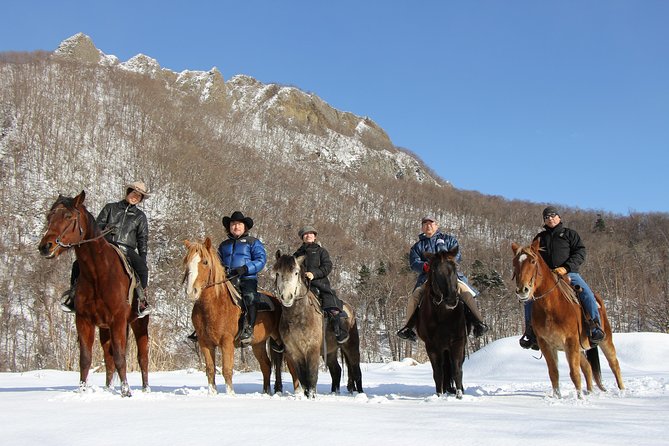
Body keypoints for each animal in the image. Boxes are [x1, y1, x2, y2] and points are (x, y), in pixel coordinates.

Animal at [38, 192, 151, 398]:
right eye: (49, 217)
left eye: (68, 216)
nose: (45, 246)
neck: (98, 272)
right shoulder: (84, 320)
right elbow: (86, 358)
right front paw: (82, 390)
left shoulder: (118, 321)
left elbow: (121, 356)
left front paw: (126, 392)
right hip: (104, 329)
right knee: (108, 357)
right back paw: (108, 388)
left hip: (139, 324)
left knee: (142, 357)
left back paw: (146, 389)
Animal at [183, 237, 298, 394]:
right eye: (186, 261)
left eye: (205, 262)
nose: (191, 291)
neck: (215, 304)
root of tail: (278, 301)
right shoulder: (205, 343)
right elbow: (211, 370)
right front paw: (212, 393)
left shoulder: (227, 342)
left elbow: (226, 370)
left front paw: (230, 394)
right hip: (258, 344)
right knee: (266, 366)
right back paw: (266, 392)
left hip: (280, 340)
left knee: (291, 365)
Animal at [272, 251, 362, 398]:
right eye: (278, 273)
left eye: (296, 273)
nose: (287, 297)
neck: (298, 316)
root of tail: (350, 309)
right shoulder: (295, 353)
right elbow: (303, 380)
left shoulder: (312, 350)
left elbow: (312, 377)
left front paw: (312, 397)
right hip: (330, 352)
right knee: (336, 370)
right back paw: (334, 392)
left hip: (351, 347)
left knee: (356, 371)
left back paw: (360, 393)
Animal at [414, 249, 468, 398]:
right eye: (435, 271)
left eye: (454, 268)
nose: (451, 300)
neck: (443, 315)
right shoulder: (431, 346)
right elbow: (437, 372)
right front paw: (439, 395)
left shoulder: (457, 342)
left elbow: (457, 369)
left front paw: (459, 394)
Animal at [512, 239, 628, 398]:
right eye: (514, 263)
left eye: (533, 261)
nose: (522, 290)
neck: (551, 307)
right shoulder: (546, 344)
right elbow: (554, 373)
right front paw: (558, 397)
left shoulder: (571, 341)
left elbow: (574, 374)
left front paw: (579, 399)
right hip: (579, 348)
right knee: (588, 368)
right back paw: (589, 392)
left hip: (605, 340)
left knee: (614, 365)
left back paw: (622, 391)